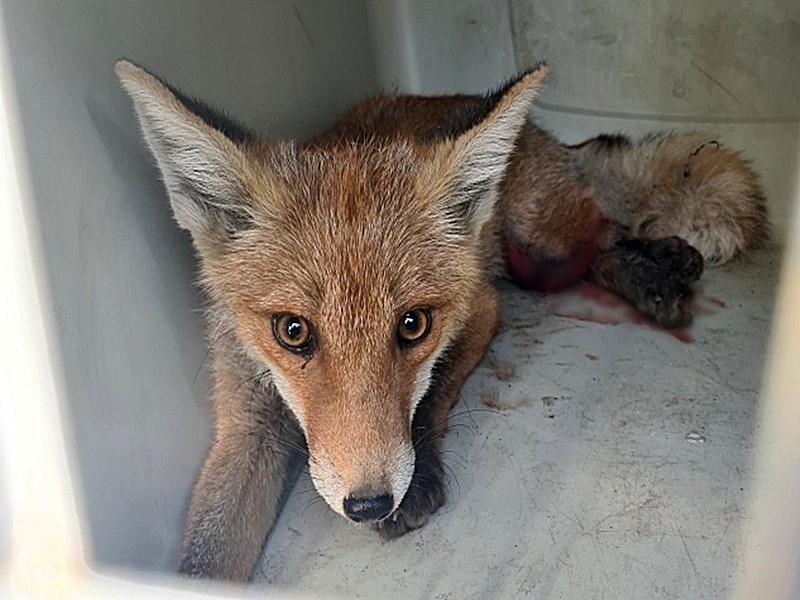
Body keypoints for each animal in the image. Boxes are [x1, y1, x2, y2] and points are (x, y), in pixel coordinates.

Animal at [115, 61, 764, 580]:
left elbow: (431, 396)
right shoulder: (247, 424)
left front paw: (416, 479)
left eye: (413, 326)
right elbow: (205, 557)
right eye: (291, 331)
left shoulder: (479, 305)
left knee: (606, 232)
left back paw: (658, 268)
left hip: (539, 239)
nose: (369, 504)